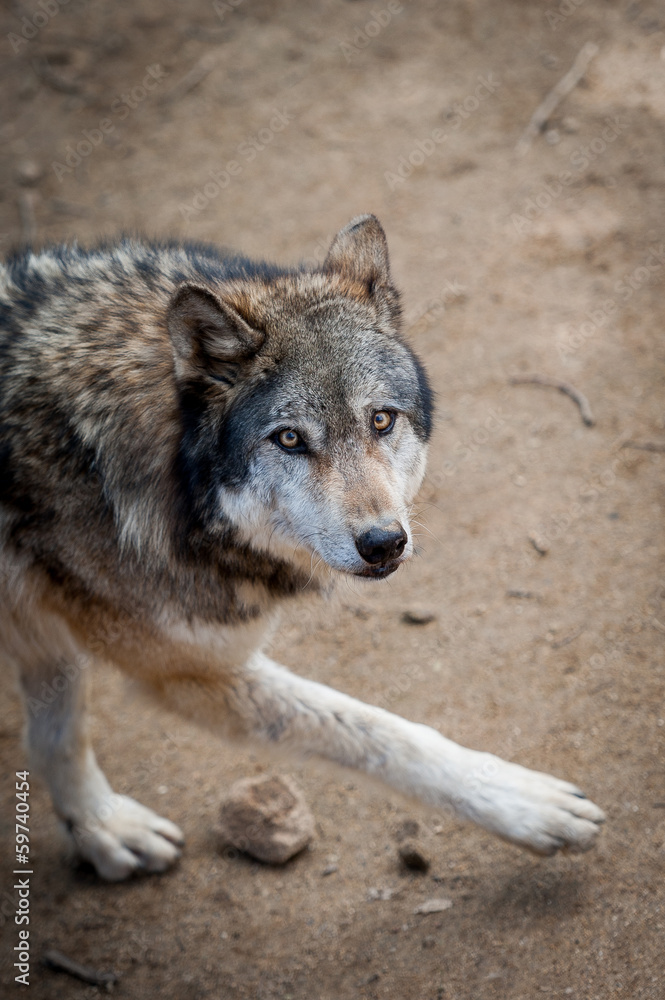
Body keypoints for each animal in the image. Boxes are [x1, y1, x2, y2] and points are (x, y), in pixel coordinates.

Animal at [0, 215, 604, 880]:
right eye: (289, 439)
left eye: (381, 420)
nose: (384, 543)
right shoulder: (190, 665)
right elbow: (376, 730)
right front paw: (523, 801)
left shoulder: (54, 630)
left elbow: (57, 738)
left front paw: (101, 830)